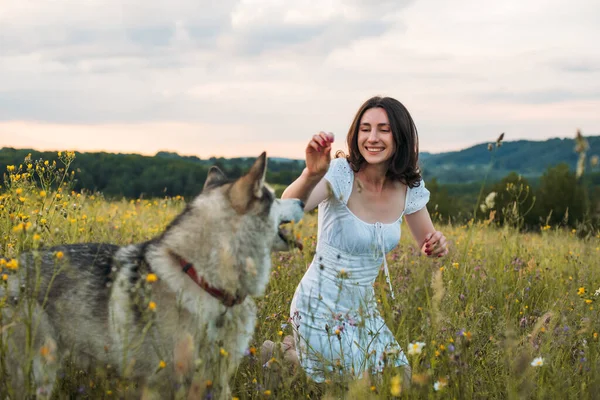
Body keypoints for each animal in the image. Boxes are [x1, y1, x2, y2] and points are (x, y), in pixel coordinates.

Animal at [0, 152, 304, 398]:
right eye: (275, 196)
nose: (302, 201)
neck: (203, 280)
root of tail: (8, 269)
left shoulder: (215, 383)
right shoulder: (161, 384)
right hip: (37, 369)